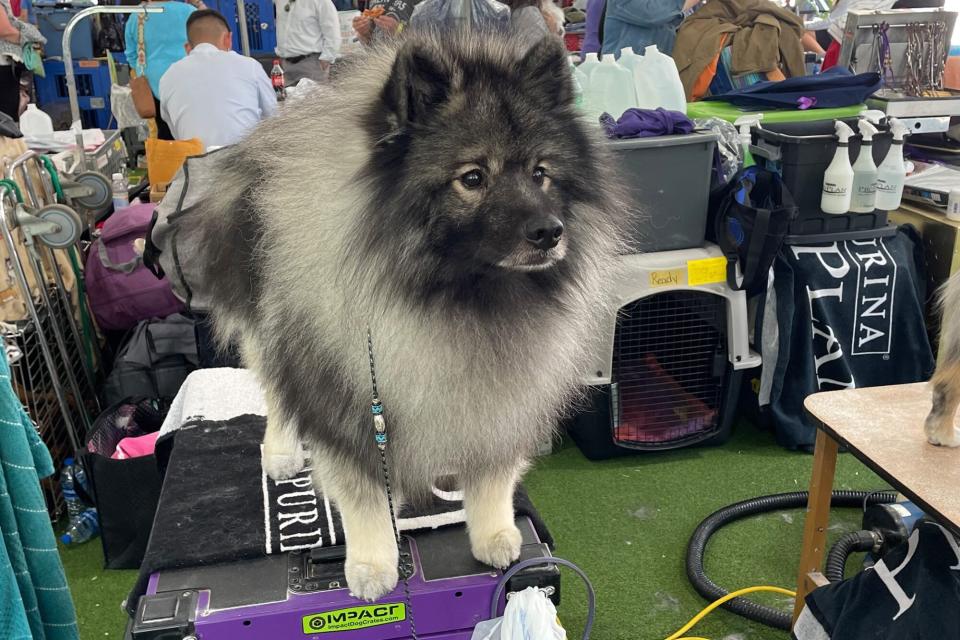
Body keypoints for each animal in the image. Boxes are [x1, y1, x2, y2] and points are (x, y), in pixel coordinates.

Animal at [187, 30, 624, 600]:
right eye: (473, 177)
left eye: (541, 174)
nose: (549, 232)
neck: (455, 296)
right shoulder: (344, 396)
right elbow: (363, 490)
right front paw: (373, 562)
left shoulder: (505, 393)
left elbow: (493, 471)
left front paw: (495, 532)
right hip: (273, 328)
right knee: (279, 393)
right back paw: (282, 453)